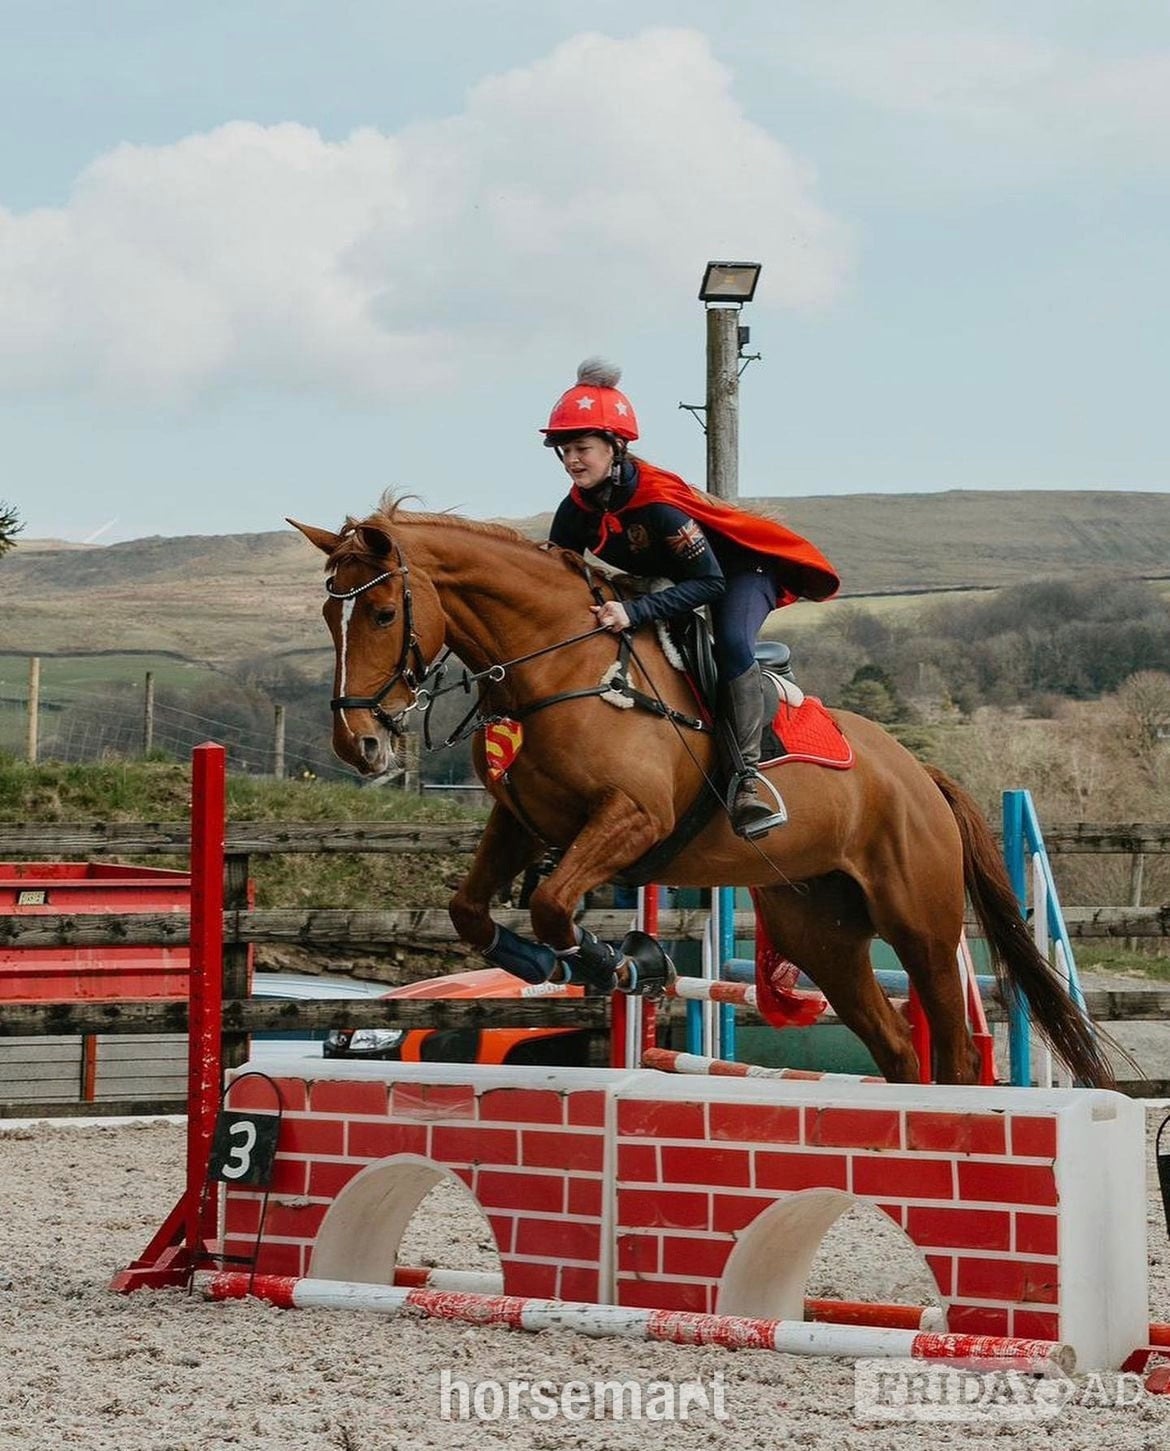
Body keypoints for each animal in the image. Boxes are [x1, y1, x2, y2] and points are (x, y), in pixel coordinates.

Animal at [289, 497, 1112, 1088]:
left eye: (383, 613)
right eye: (330, 613)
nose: (360, 745)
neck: (562, 665)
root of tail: (920, 775)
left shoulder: (633, 817)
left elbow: (554, 902)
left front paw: (625, 963)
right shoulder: (524, 821)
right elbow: (474, 909)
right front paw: (556, 966)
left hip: (921, 924)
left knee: (955, 1049)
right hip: (823, 934)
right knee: (898, 1048)